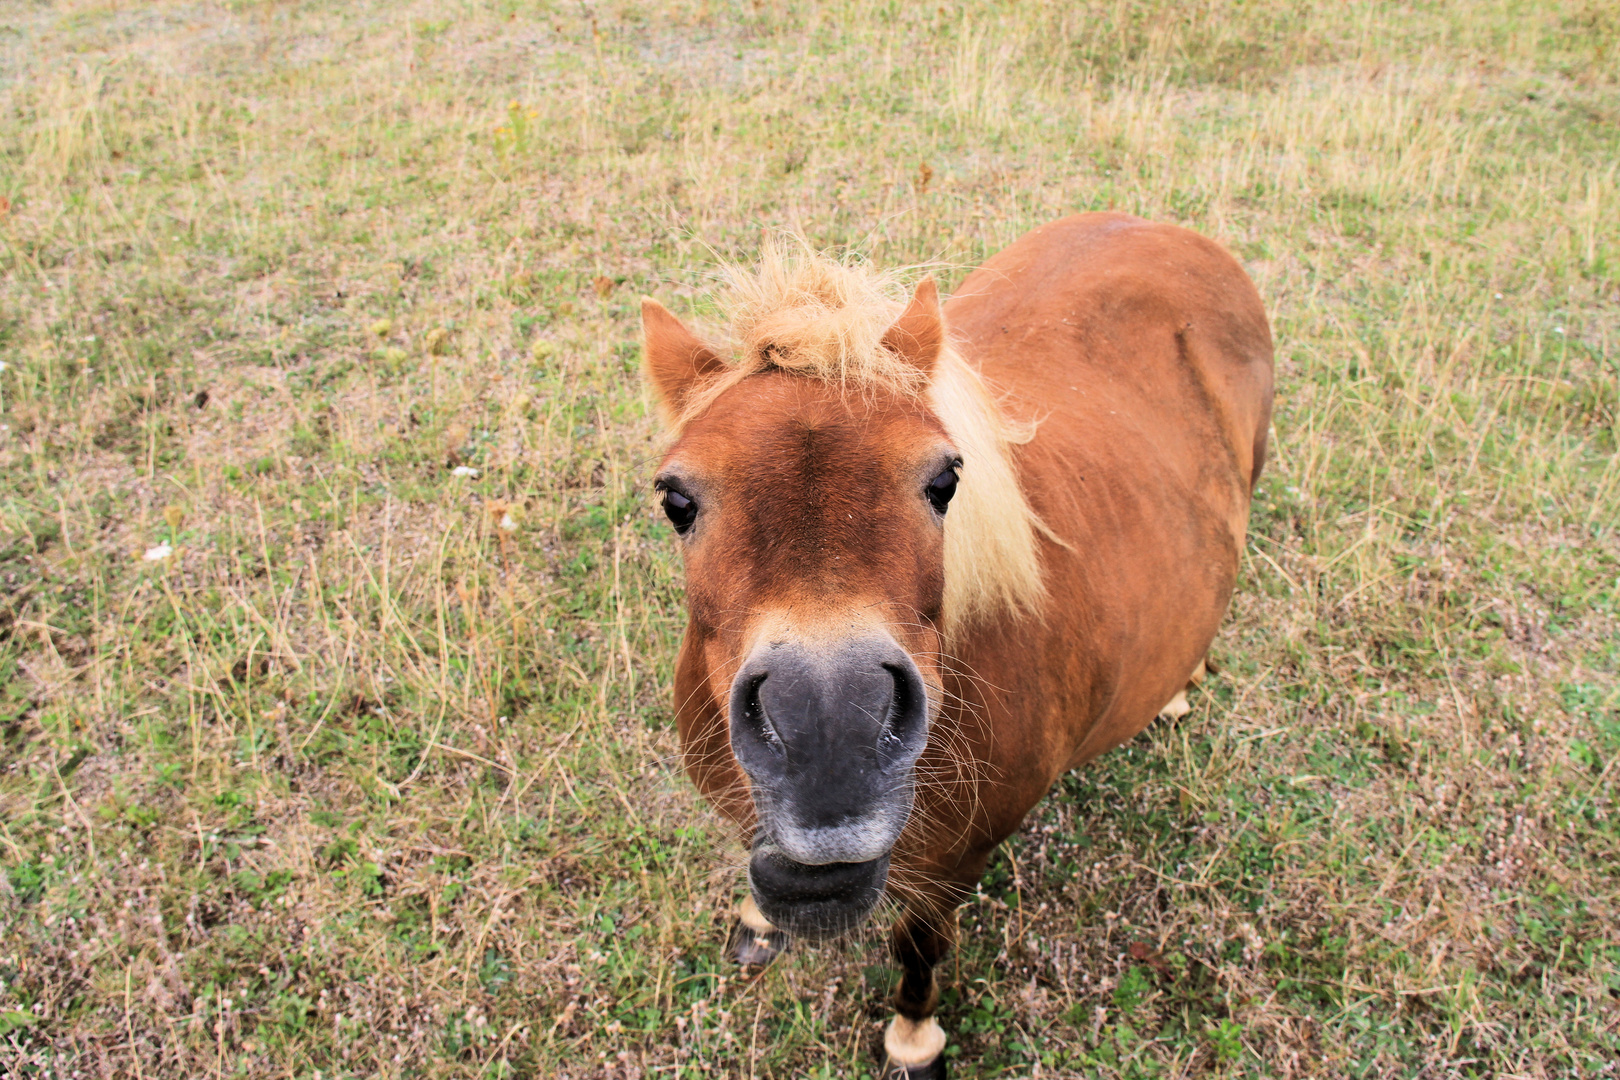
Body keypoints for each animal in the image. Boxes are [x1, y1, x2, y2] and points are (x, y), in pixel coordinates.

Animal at [638, 213, 1270, 1080]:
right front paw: (760, 922)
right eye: (676, 499)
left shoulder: (952, 866)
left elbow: (919, 947)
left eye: (945, 481)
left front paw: (913, 1038)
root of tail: (1161, 229)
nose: (828, 741)